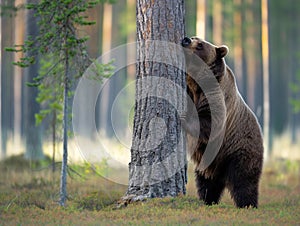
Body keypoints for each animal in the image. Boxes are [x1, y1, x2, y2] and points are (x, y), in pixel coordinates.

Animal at [180, 36, 262, 207]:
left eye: (200, 45)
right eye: (194, 37)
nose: (186, 39)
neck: (197, 82)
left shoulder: (216, 96)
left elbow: (211, 122)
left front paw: (184, 117)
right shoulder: (191, 90)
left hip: (238, 149)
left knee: (244, 180)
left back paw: (248, 204)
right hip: (207, 161)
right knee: (206, 183)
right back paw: (207, 199)